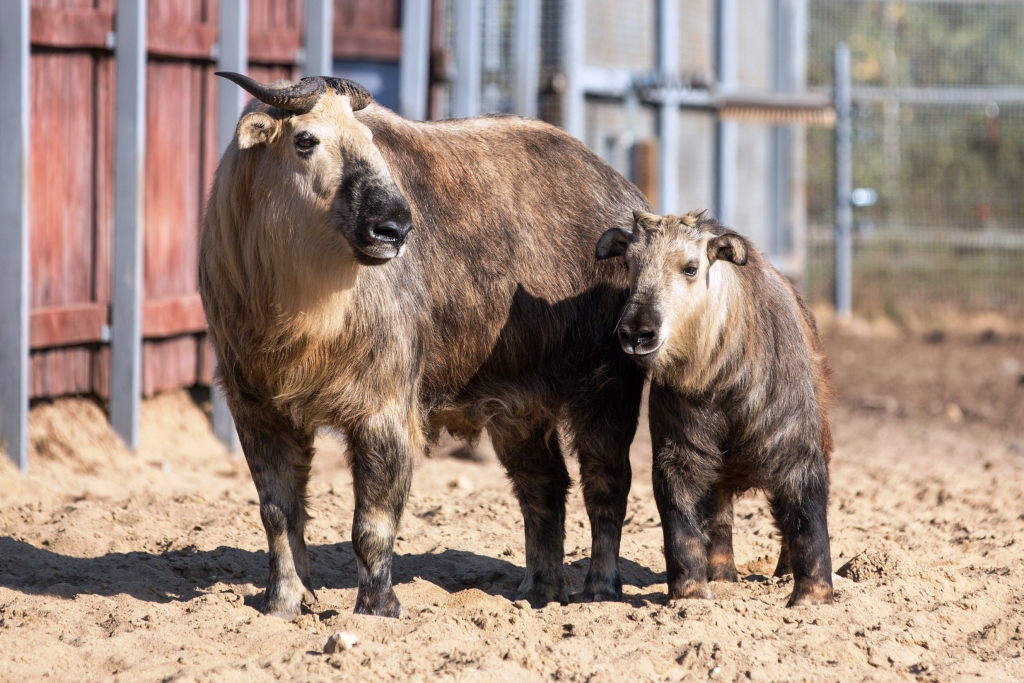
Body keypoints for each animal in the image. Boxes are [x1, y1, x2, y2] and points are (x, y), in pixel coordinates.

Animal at [598, 210, 835, 606]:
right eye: (630, 264)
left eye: (691, 268)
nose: (636, 333)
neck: (722, 374)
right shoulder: (679, 452)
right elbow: (681, 526)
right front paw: (691, 594)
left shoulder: (794, 448)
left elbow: (806, 517)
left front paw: (812, 597)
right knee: (720, 518)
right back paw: (722, 576)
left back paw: (783, 573)